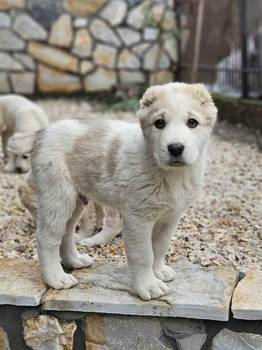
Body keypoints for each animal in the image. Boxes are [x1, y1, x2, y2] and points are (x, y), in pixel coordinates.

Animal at [31, 82, 218, 300]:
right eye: (159, 123)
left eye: (192, 123)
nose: (175, 148)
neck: (171, 174)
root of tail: (44, 132)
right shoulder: (138, 218)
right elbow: (143, 255)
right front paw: (148, 285)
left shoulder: (169, 218)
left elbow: (159, 248)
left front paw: (158, 272)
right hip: (58, 196)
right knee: (47, 237)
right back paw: (56, 278)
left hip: (76, 201)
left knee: (67, 233)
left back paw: (74, 260)